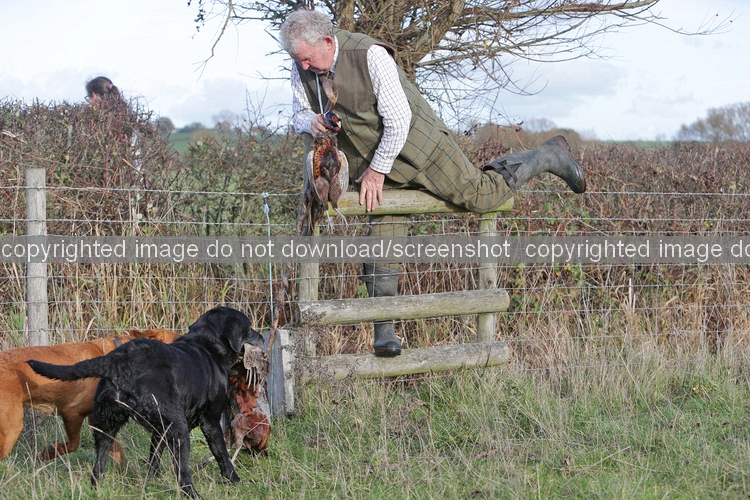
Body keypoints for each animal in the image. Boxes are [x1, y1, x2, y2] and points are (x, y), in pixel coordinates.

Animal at [0, 327, 179, 463]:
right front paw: (49, 452)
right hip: (12, 428)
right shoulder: (72, 412)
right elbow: (73, 444)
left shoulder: (97, 419)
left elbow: (118, 452)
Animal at [29, 306, 262, 498]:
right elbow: (222, 455)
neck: (207, 346)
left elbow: (154, 457)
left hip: (106, 426)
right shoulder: (210, 421)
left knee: (98, 469)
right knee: (183, 475)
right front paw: (235, 481)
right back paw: (195, 495)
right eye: (249, 327)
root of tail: (119, 360)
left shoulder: (159, 429)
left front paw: (151, 481)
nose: (261, 335)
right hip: (179, 429)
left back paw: (96, 490)